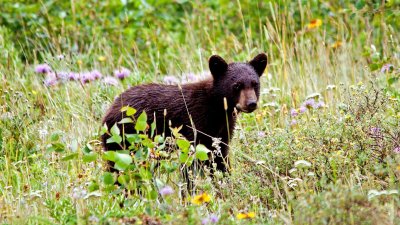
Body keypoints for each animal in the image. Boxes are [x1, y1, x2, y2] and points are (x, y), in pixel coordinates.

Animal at [101, 53, 268, 173]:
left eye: (255, 84)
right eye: (237, 85)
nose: (251, 103)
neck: (217, 109)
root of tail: (109, 110)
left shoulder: (222, 132)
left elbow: (220, 158)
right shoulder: (193, 124)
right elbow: (192, 162)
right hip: (125, 141)